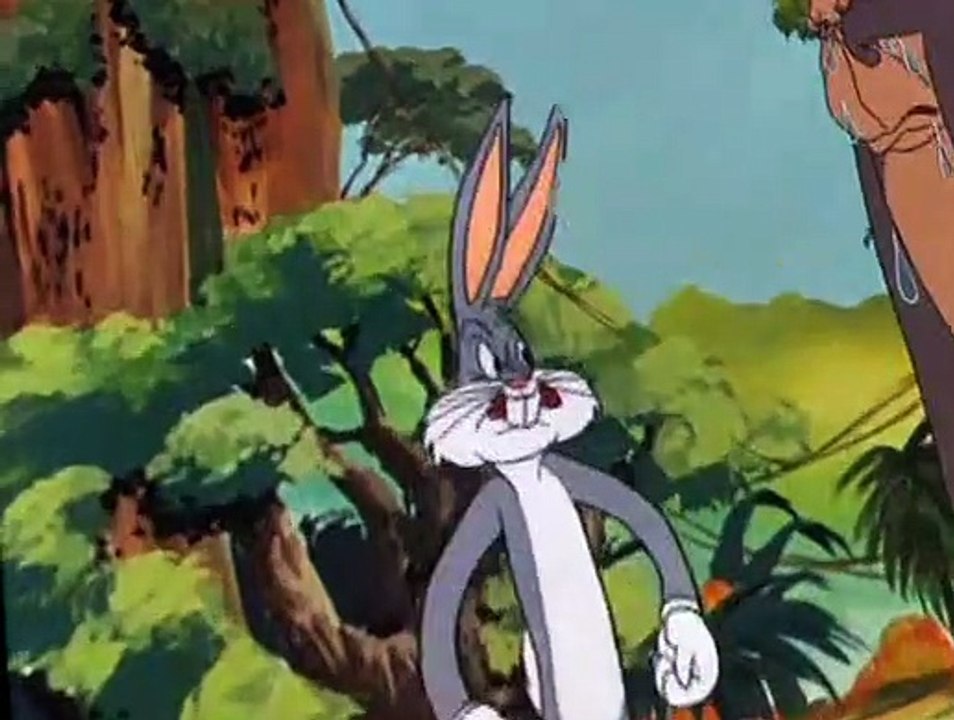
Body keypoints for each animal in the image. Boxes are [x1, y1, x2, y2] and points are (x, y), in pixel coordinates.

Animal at [419, 97, 719, 720]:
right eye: (484, 361)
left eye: (525, 351)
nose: (521, 384)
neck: (529, 476)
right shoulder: (486, 511)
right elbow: (437, 615)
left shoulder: (572, 474)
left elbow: (646, 516)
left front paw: (687, 650)